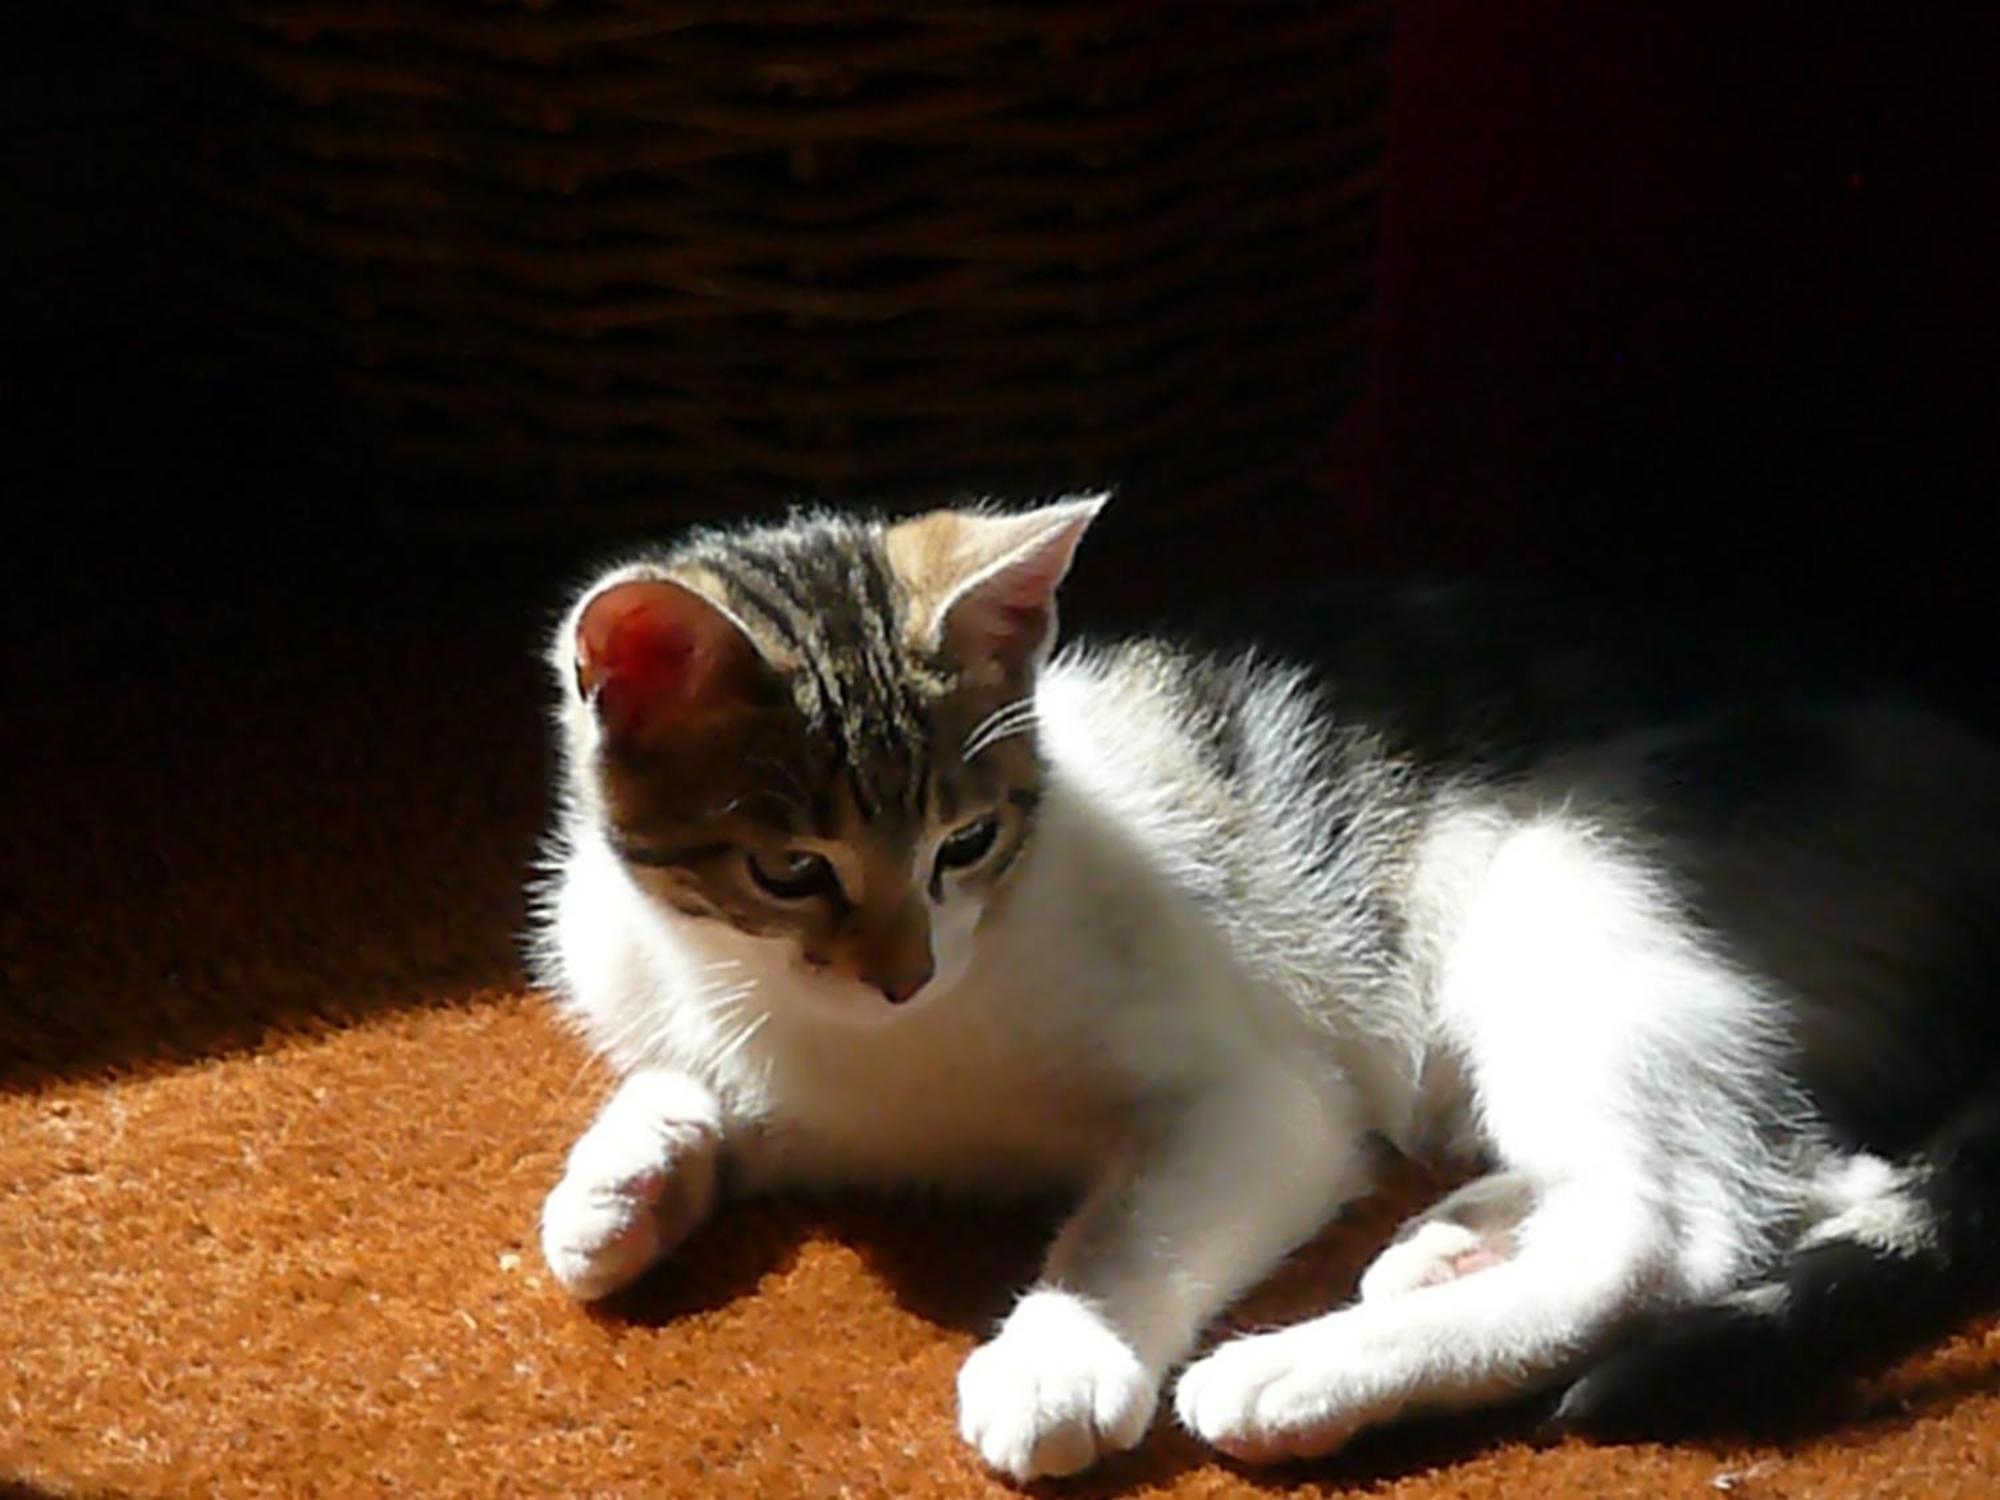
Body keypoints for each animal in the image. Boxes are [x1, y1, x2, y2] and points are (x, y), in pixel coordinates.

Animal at [532, 502, 2000, 1480]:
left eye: (968, 841)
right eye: (791, 869)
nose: (907, 976)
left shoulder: (1258, 1095)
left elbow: (1135, 1222)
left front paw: (1061, 1351)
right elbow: (693, 1080)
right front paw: (622, 1182)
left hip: (1577, 891)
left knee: (1672, 1232)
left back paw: (1310, 1370)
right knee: (1808, 1171)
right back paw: (1453, 1236)